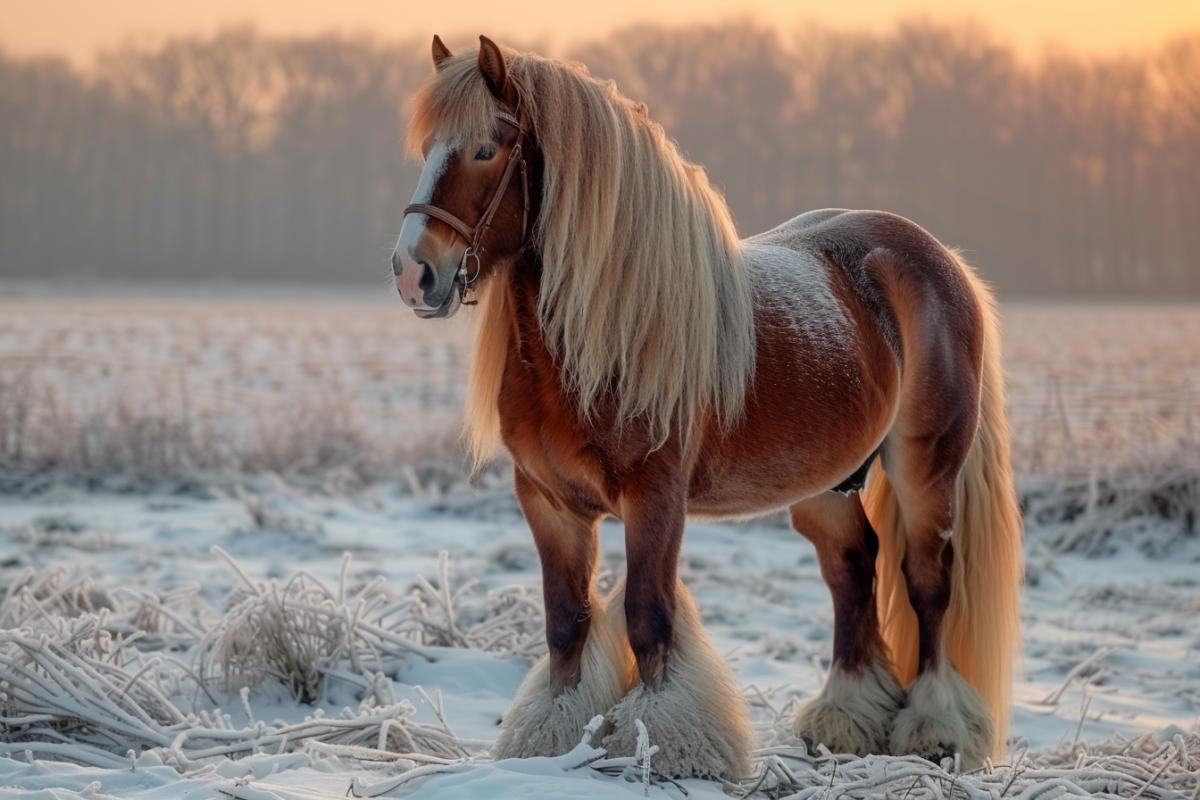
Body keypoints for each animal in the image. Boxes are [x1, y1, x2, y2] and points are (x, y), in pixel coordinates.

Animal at [391, 35, 1023, 780]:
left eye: (487, 148)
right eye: (427, 147)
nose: (413, 273)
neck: (605, 334)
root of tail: (939, 257)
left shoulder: (657, 499)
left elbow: (648, 617)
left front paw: (670, 746)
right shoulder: (547, 501)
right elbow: (566, 622)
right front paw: (552, 740)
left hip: (926, 470)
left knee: (926, 584)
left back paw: (935, 728)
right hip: (826, 487)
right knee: (852, 568)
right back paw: (845, 719)